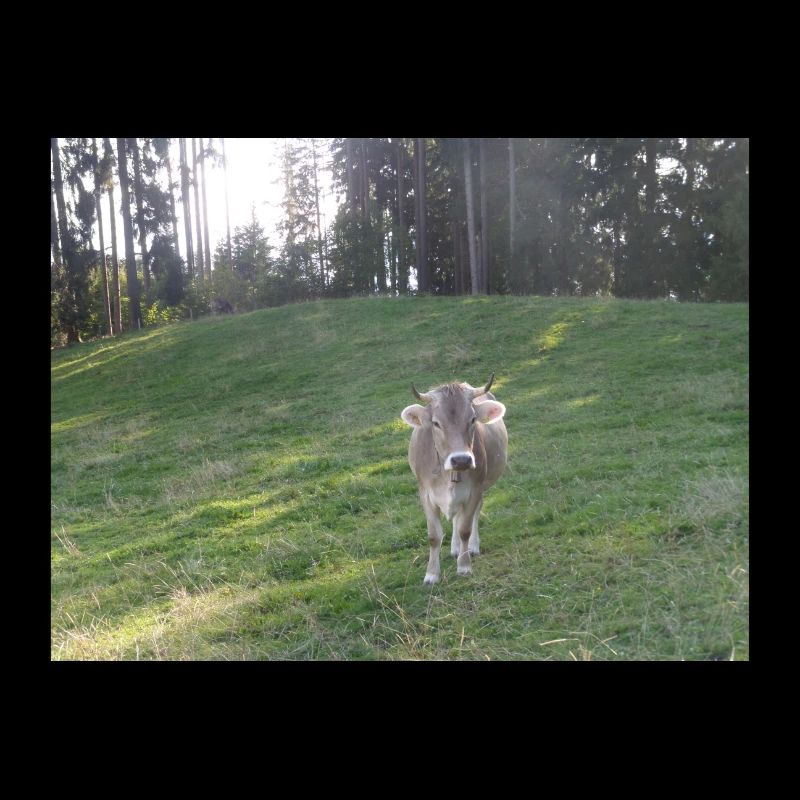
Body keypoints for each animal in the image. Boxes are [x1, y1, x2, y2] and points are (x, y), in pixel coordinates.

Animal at [400, 374, 508, 585]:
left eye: (473, 419)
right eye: (435, 423)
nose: (461, 459)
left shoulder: (474, 490)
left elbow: (465, 529)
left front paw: (464, 566)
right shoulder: (425, 494)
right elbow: (434, 536)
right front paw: (431, 574)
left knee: (472, 515)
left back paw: (470, 547)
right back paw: (455, 548)